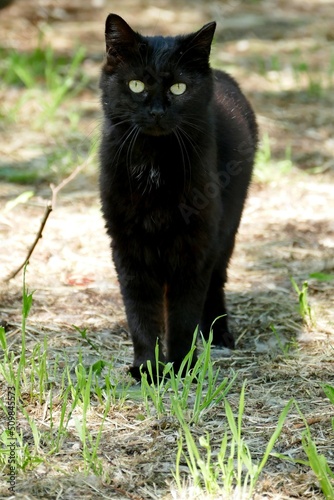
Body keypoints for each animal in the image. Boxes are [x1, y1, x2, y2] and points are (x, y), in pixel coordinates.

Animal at [99, 12, 258, 378]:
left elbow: (184, 312)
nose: (157, 111)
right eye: (137, 85)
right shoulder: (127, 244)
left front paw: (183, 365)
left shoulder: (195, 244)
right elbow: (141, 310)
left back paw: (218, 333)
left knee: (216, 282)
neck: (154, 162)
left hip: (227, 229)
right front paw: (147, 366)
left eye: (179, 88)